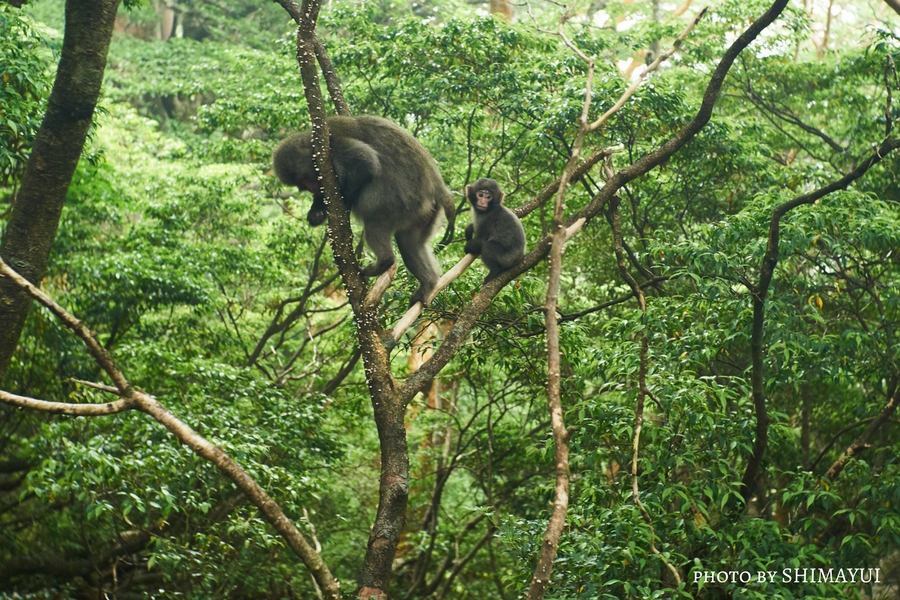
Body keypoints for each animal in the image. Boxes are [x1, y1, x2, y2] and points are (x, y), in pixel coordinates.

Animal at [272, 115, 458, 308]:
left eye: (305, 178)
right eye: (302, 184)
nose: (311, 188)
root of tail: (439, 189)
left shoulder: (334, 146)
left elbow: (365, 162)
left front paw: (345, 201)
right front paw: (317, 212)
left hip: (401, 202)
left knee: (374, 222)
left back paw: (385, 261)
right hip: (425, 213)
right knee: (408, 242)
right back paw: (428, 284)